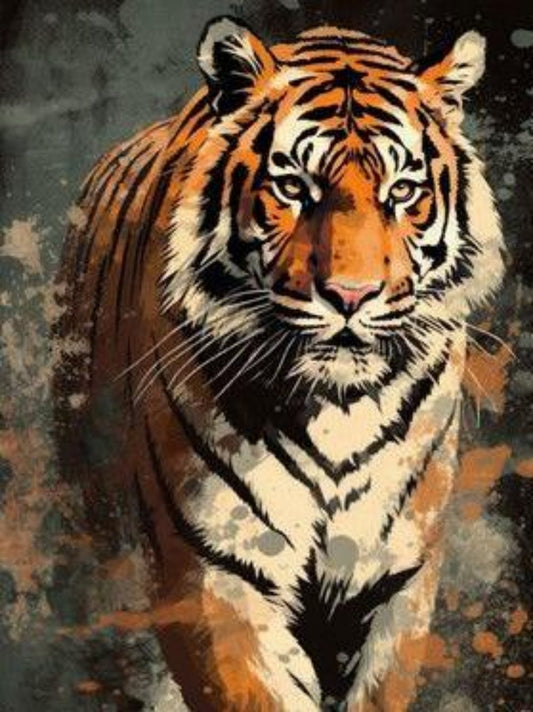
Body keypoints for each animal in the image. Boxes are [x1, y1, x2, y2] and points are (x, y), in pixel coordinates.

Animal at [53, 16, 504, 712]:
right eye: (294, 187)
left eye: (403, 192)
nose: (351, 295)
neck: (339, 409)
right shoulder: (217, 573)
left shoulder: (395, 579)